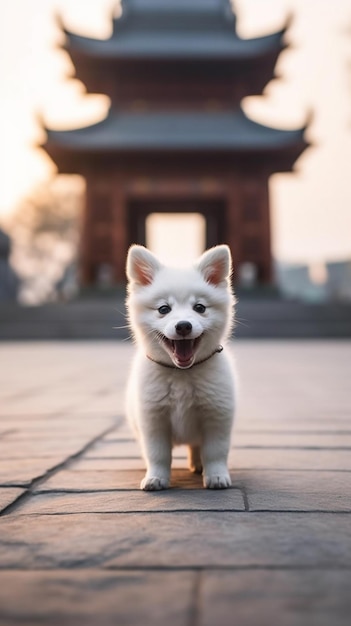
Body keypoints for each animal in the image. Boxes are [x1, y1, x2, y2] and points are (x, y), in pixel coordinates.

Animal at [126, 241, 236, 490]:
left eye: (200, 308)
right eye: (163, 309)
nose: (184, 325)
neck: (182, 374)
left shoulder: (216, 415)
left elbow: (215, 452)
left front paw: (216, 476)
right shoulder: (153, 419)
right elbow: (157, 455)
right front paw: (156, 478)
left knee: (196, 447)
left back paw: (198, 465)